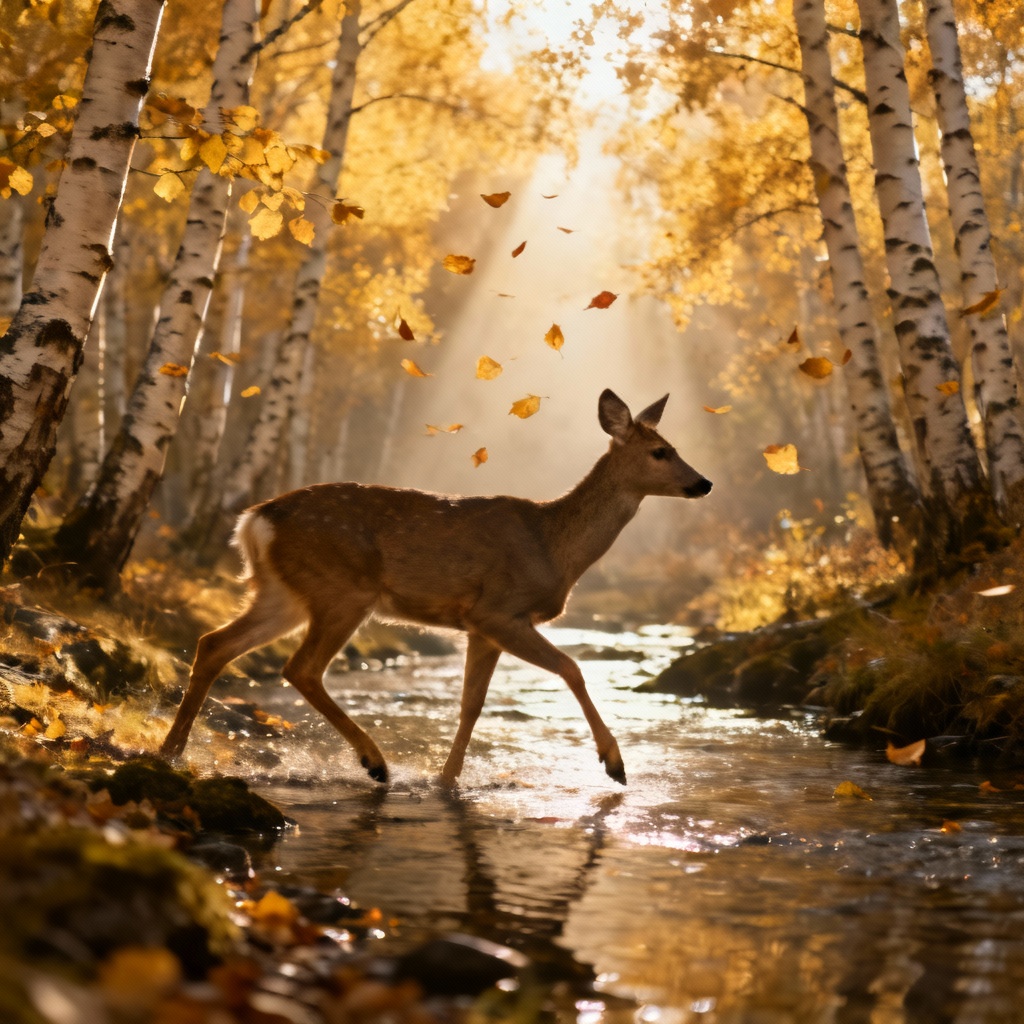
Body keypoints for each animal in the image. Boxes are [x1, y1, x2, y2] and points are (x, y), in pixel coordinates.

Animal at [160, 389, 711, 785]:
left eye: (675, 448)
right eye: (660, 451)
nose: (704, 483)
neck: (555, 545)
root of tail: (255, 521)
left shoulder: (480, 628)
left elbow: (471, 705)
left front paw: (448, 779)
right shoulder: (499, 610)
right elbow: (571, 668)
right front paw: (613, 762)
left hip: (285, 593)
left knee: (214, 643)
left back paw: (170, 750)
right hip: (342, 590)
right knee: (300, 668)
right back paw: (375, 761)